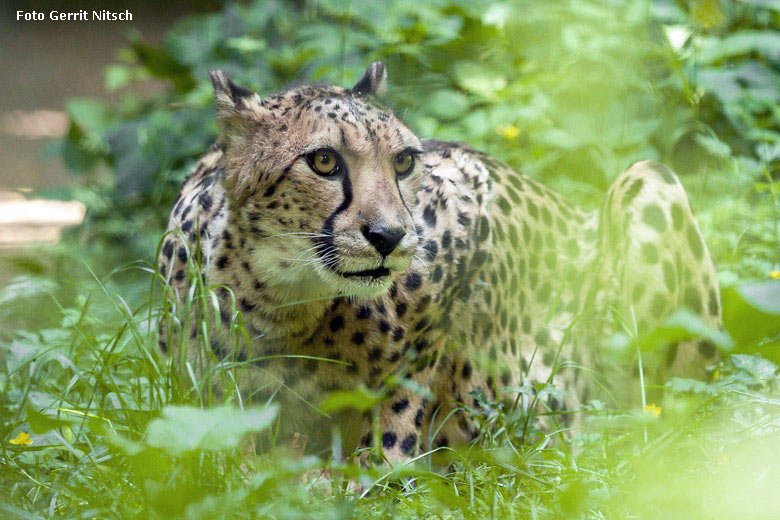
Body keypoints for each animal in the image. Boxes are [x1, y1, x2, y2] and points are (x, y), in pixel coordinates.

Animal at [158, 62, 724, 464]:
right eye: (323, 161)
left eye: (404, 161)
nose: (389, 236)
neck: (284, 303)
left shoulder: (467, 211)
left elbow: (391, 432)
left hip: (649, 182)